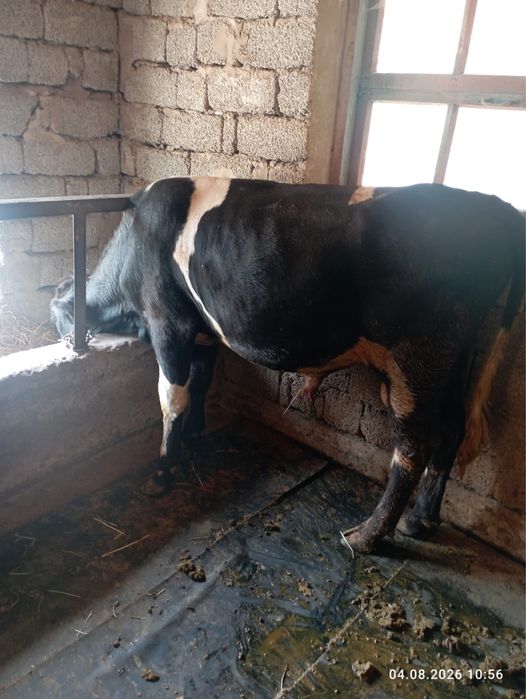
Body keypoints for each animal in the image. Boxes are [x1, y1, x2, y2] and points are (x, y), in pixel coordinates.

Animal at [51, 178, 524, 553]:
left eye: (56, 318)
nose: (67, 341)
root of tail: (492, 206)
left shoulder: (168, 324)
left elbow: (172, 399)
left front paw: (163, 472)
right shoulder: (203, 333)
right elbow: (200, 386)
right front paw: (197, 438)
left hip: (416, 359)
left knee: (411, 449)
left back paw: (366, 536)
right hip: (456, 359)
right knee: (451, 429)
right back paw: (420, 520)